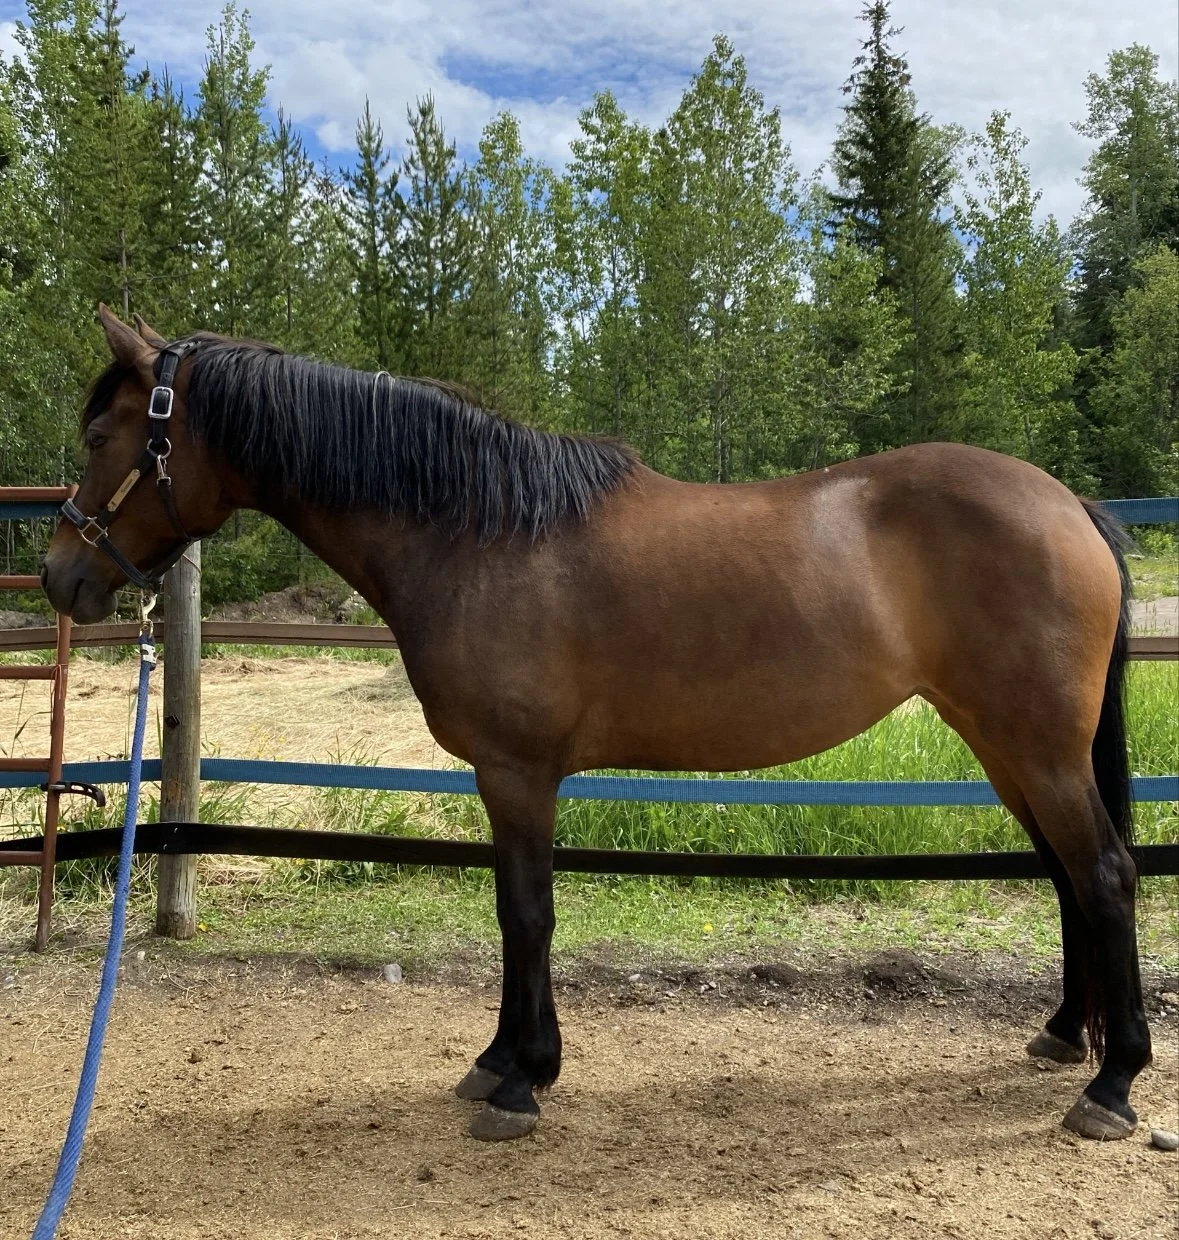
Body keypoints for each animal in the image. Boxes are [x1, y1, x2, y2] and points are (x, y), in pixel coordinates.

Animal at [42, 306, 1151, 1144]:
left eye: (100, 438)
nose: (61, 576)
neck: (473, 534)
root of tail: (1070, 505)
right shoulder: (500, 776)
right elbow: (508, 912)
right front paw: (496, 1060)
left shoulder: (519, 772)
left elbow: (529, 915)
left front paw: (524, 1080)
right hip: (1005, 745)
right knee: (1067, 876)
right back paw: (1064, 1035)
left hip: (1036, 746)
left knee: (1103, 874)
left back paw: (1112, 1085)